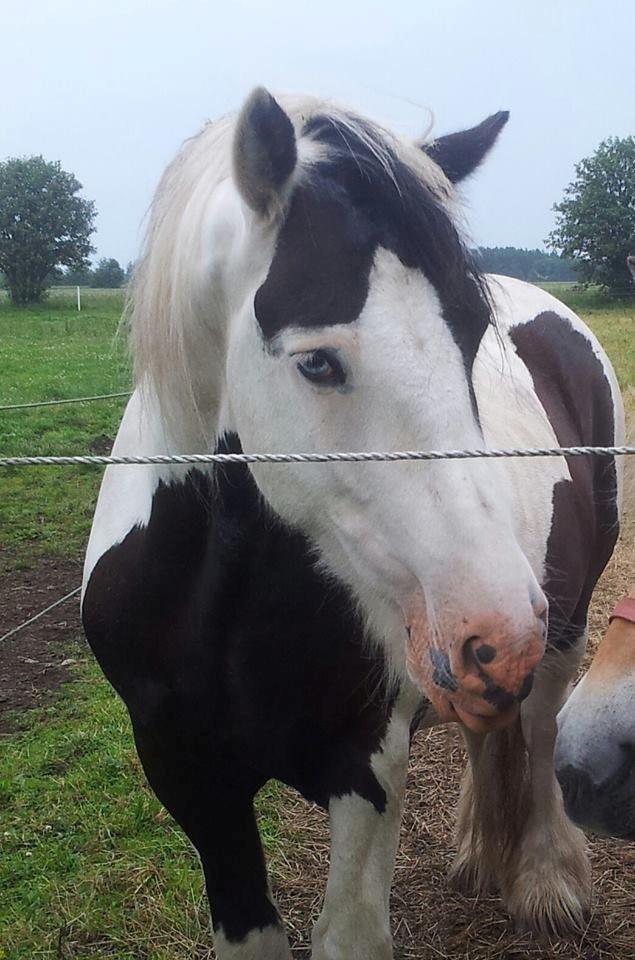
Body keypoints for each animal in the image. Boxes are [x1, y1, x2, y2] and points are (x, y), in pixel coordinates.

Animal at [82, 86, 624, 956]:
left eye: (472, 333)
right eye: (316, 361)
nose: (500, 628)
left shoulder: (364, 769)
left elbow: (349, 936)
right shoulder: (191, 782)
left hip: (563, 625)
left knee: (539, 730)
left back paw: (542, 877)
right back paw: (480, 853)